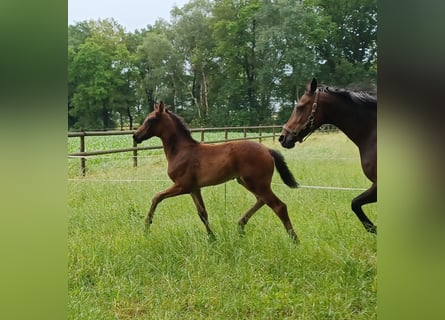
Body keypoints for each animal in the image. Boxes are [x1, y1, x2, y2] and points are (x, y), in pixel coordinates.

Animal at [132, 101, 298, 241]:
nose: (135, 136)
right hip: (247, 182)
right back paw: (240, 225)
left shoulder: (182, 186)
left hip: (257, 183)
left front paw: (146, 227)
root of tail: (267, 150)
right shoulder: (194, 189)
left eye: (150, 120)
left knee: (279, 206)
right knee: (261, 200)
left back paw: (294, 240)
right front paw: (212, 238)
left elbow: (157, 197)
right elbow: (202, 214)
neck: (181, 151)